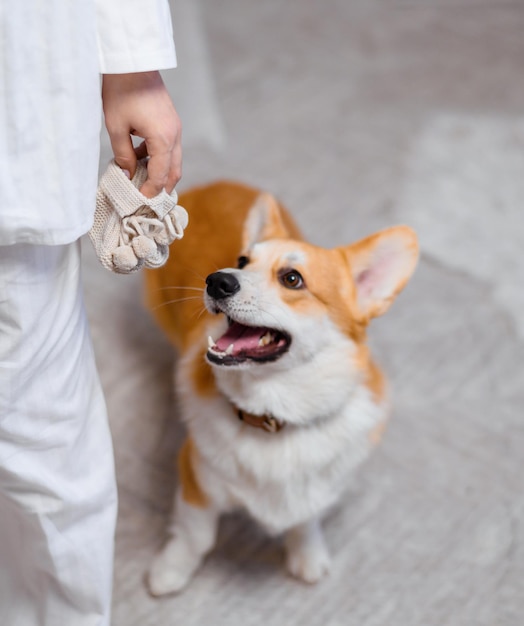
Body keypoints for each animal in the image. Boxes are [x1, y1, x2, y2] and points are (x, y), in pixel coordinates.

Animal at [144, 182, 418, 596]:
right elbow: (195, 536)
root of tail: (211, 185)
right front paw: (170, 570)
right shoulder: (196, 478)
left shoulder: (318, 488)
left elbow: (306, 520)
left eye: (292, 279)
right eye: (242, 261)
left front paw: (307, 554)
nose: (216, 280)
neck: (273, 414)